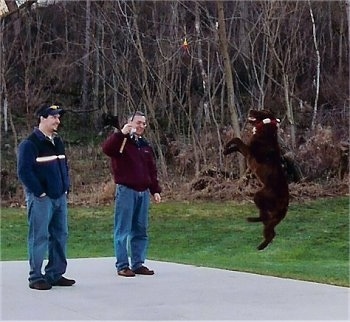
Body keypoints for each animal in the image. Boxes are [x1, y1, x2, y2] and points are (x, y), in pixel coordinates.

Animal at [224, 109, 290, 250]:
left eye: (262, 111)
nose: (251, 110)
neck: (265, 128)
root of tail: (286, 203)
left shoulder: (251, 152)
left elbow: (237, 139)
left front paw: (226, 146)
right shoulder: (247, 151)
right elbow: (237, 145)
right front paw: (226, 151)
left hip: (260, 196)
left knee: (270, 230)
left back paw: (261, 246)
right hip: (270, 212)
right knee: (267, 223)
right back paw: (253, 222)